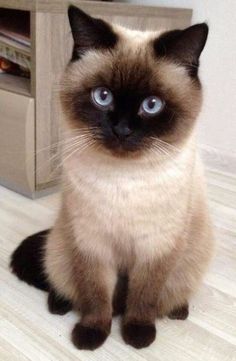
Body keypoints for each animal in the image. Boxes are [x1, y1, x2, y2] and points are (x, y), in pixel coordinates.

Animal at [10, 4, 215, 348]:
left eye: (152, 105)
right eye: (102, 96)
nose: (122, 130)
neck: (123, 179)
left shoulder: (156, 248)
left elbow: (144, 296)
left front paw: (137, 335)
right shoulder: (92, 245)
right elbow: (96, 296)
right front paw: (91, 336)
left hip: (191, 258)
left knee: (165, 295)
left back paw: (177, 311)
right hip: (60, 245)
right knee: (67, 284)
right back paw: (60, 305)